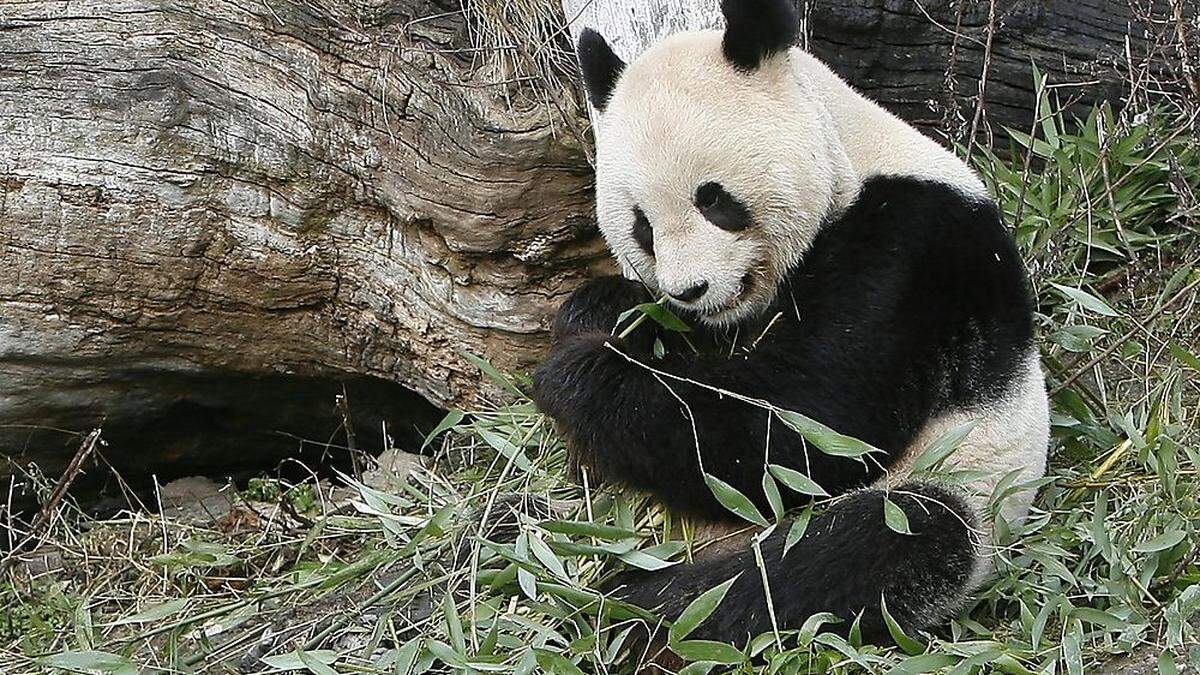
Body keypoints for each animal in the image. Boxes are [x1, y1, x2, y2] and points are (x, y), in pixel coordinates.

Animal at [530, 0, 1046, 648]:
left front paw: (577, 376)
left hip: (963, 481)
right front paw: (600, 310)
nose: (690, 290)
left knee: (858, 549)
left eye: (714, 200)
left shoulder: (912, 249)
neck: (852, 150)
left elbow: (807, 423)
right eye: (641, 226)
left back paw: (638, 610)